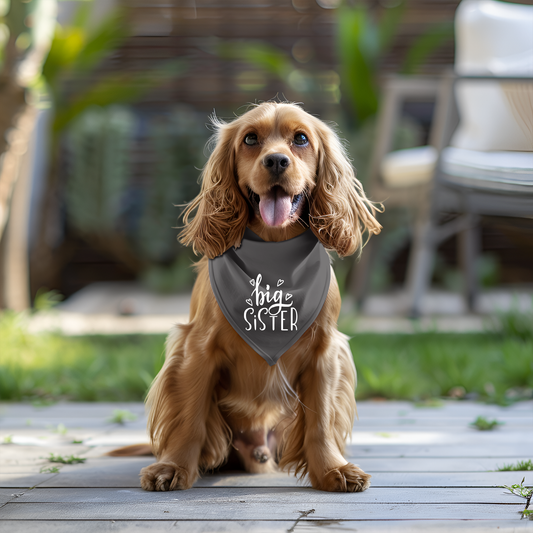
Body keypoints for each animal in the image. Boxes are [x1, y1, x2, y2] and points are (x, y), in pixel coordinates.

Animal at [130, 102, 378, 492]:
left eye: (301, 139)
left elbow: (321, 420)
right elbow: (190, 416)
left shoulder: (325, 352)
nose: (276, 161)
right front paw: (173, 467)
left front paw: (331, 470)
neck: (274, 254)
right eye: (250, 139)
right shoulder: (196, 348)